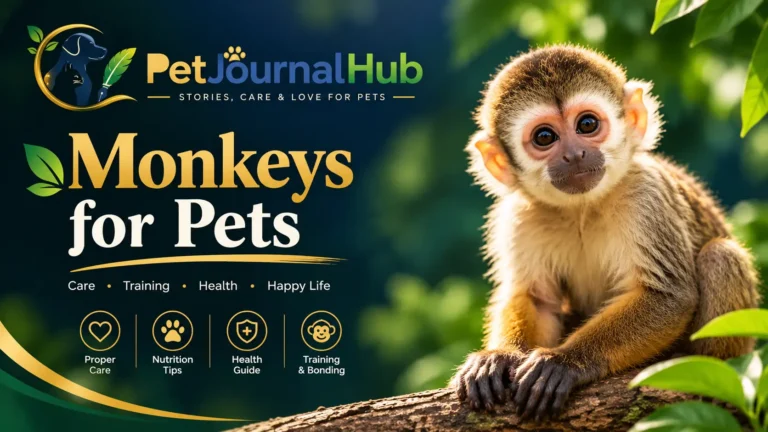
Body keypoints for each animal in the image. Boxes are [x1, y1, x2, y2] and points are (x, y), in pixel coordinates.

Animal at [451, 44, 760, 420]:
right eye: (544, 137)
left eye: (587, 124)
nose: (574, 155)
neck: (582, 209)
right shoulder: (519, 216)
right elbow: (538, 299)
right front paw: (500, 358)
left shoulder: (646, 192)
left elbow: (667, 295)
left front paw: (564, 362)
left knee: (720, 255)